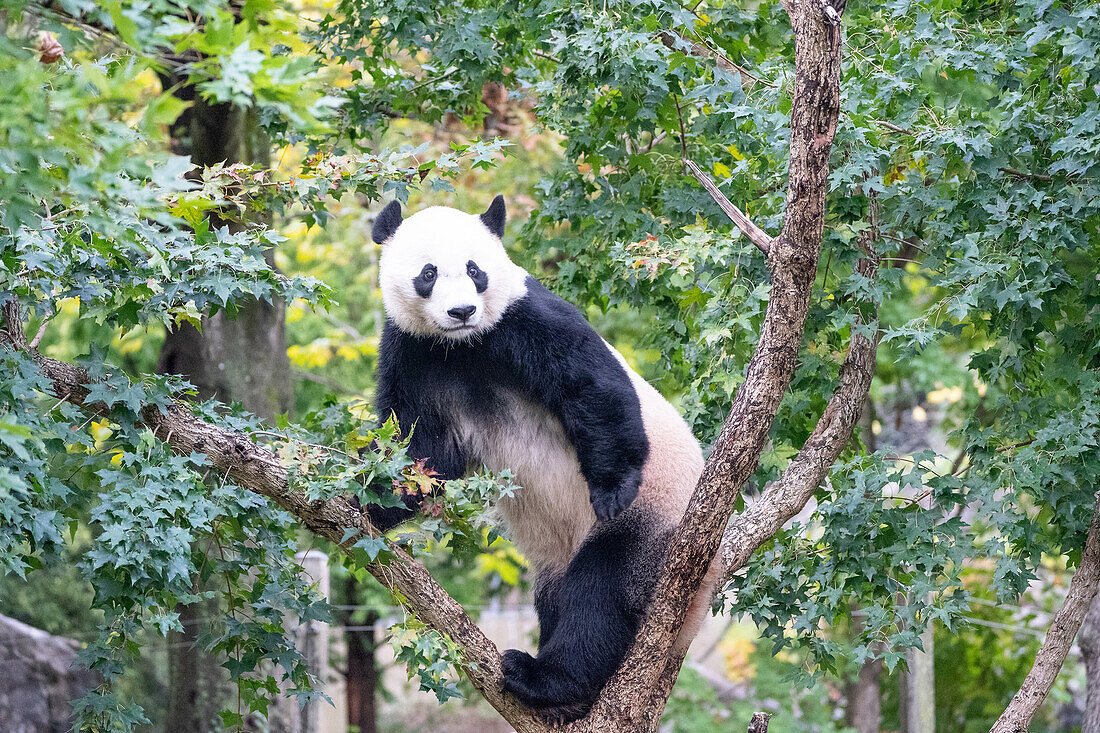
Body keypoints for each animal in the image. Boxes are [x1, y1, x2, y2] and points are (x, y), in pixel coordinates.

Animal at [365, 193, 717, 717]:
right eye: (428, 273)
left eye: (474, 270)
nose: (462, 310)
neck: (461, 346)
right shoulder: (412, 350)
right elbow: (422, 451)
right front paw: (368, 499)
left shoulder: (524, 319)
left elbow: (591, 386)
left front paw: (612, 486)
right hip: (561, 556)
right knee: (558, 598)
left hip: (659, 526)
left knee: (602, 592)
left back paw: (545, 679)